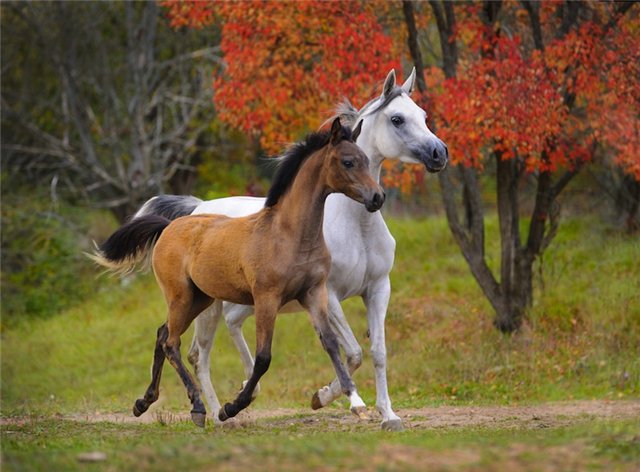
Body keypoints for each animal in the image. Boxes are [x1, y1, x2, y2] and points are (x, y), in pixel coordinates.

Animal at [92, 117, 382, 424]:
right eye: (348, 162)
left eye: (366, 160)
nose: (378, 197)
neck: (288, 236)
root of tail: (168, 226)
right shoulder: (267, 299)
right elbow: (263, 358)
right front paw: (231, 407)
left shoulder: (314, 294)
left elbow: (330, 344)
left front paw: (356, 401)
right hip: (180, 296)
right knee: (171, 343)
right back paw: (197, 407)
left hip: (199, 299)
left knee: (161, 335)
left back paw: (144, 402)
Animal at [134, 69, 444, 432]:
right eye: (397, 119)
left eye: (423, 115)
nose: (439, 153)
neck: (356, 225)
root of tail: (196, 209)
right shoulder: (329, 293)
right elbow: (352, 351)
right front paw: (324, 397)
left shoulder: (377, 288)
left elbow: (376, 352)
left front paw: (388, 415)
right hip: (201, 302)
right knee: (196, 352)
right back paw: (213, 412)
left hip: (225, 301)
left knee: (210, 330)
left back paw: (227, 397)